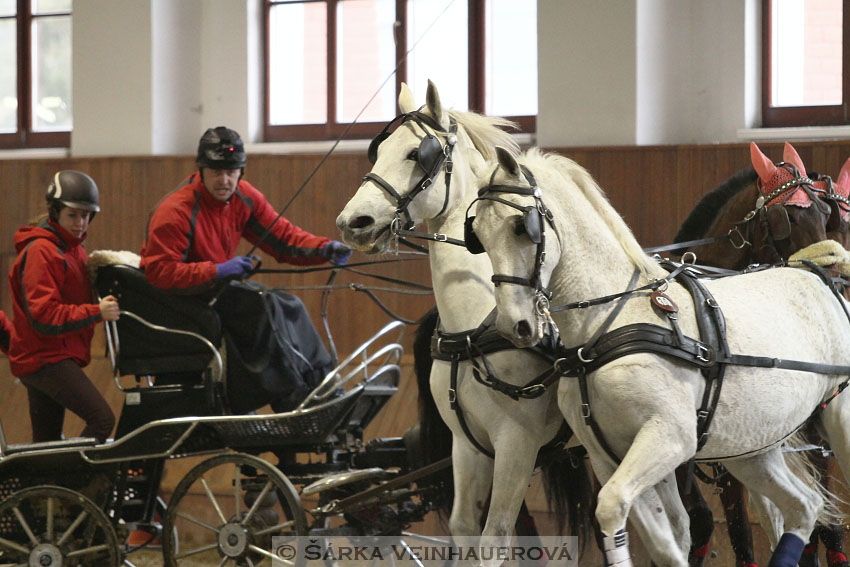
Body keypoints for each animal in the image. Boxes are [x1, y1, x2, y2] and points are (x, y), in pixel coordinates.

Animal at [332, 82, 688, 564]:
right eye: (378, 150)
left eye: (415, 154)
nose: (354, 222)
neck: (474, 330)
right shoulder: (467, 446)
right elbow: (465, 530)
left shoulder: (516, 442)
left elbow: (496, 536)